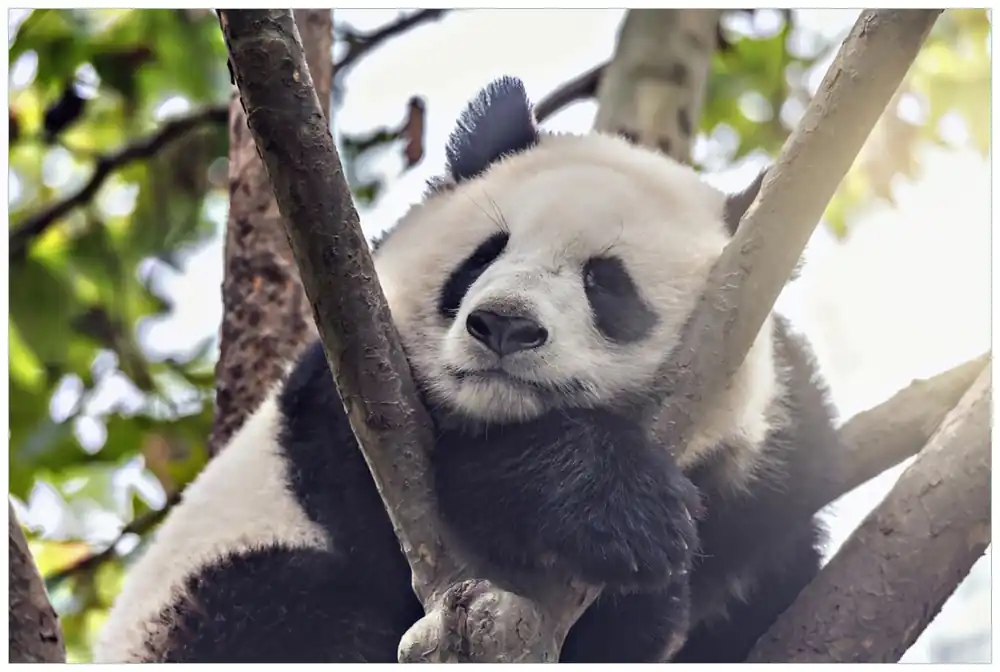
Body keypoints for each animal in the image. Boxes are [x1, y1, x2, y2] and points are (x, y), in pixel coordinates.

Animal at [94, 76, 843, 664]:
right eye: (485, 254)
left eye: (606, 283)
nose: (504, 325)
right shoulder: (350, 384)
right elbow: (401, 499)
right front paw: (615, 510)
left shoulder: (769, 470)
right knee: (282, 608)